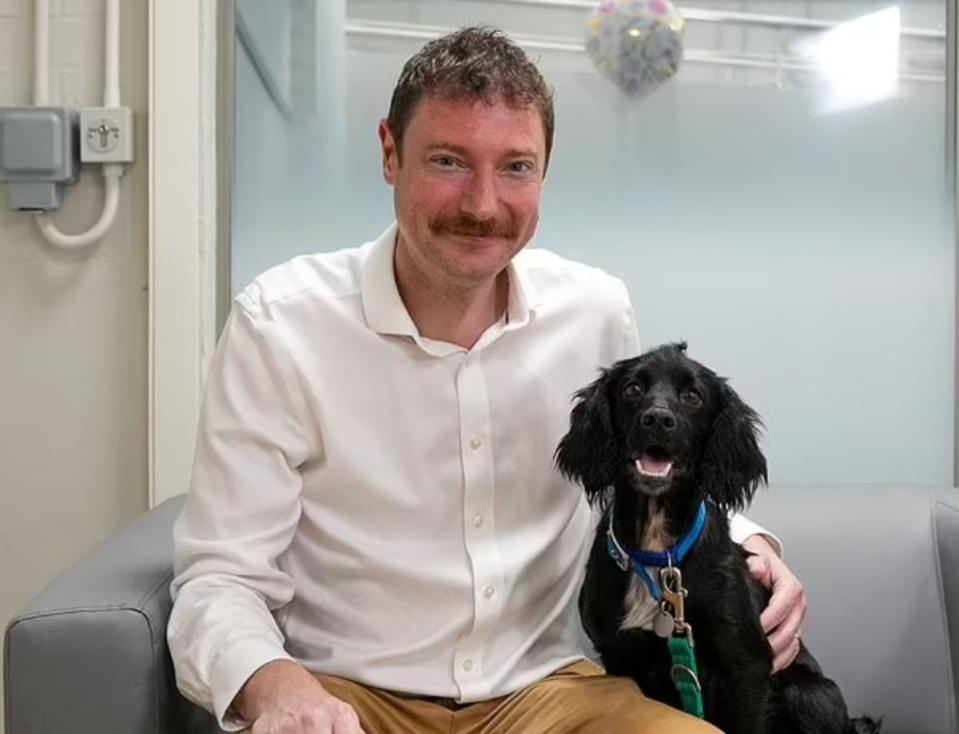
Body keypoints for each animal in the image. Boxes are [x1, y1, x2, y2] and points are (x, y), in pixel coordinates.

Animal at [556, 344, 876, 734]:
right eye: (632, 388)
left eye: (693, 396)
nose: (658, 419)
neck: (659, 552)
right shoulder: (621, 658)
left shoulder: (747, 666)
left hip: (811, 693)